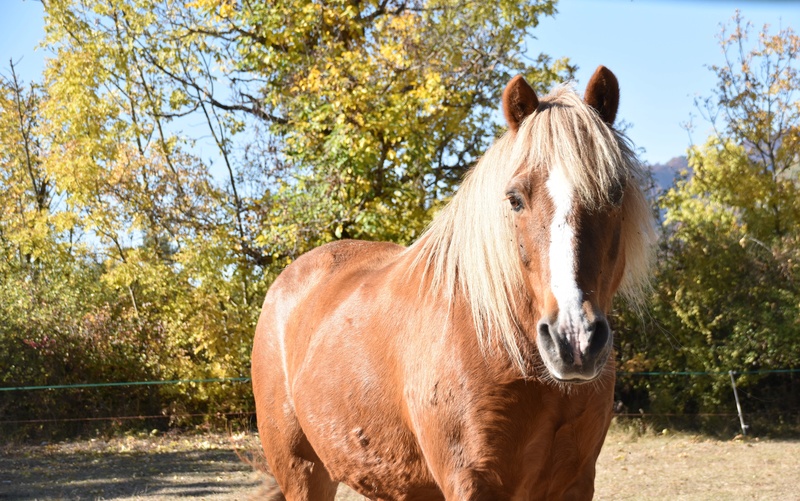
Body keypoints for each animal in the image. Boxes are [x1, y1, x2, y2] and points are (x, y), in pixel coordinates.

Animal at [253, 66, 652, 500]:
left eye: (614, 193)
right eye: (515, 199)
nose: (574, 340)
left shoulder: (575, 483)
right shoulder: (471, 483)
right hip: (305, 472)